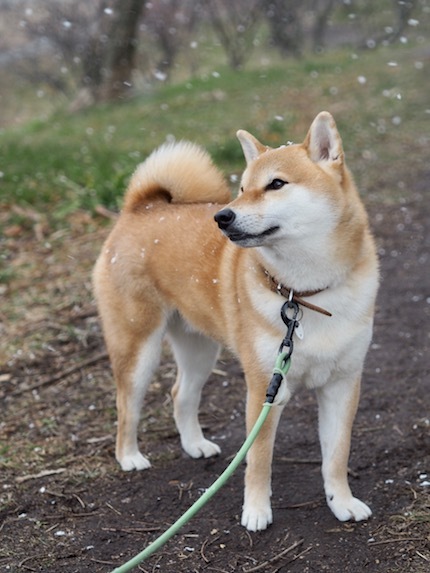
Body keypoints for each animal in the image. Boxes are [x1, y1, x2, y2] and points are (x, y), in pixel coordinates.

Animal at [95, 111, 380, 532]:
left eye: (276, 184)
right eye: (243, 188)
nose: (222, 216)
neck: (306, 295)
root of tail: (140, 208)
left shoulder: (343, 384)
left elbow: (336, 457)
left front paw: (341, 503)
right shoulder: (265, 386)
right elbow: (258, 460)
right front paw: (256, 511)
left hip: (199, 350)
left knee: (181, 394)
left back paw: (195, 445)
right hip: (138, 348)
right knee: (126, 404)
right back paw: (129, 456)